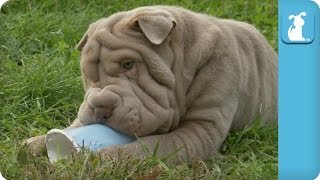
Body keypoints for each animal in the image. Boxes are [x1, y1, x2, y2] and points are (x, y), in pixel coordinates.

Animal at [26, 5, 278, 162]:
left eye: (128, 64)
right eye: (87, 74)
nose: (99, 106)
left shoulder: (201, 128)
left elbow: (155, 145)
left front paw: (108, 156)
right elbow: (74, 124)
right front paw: (35, 144)